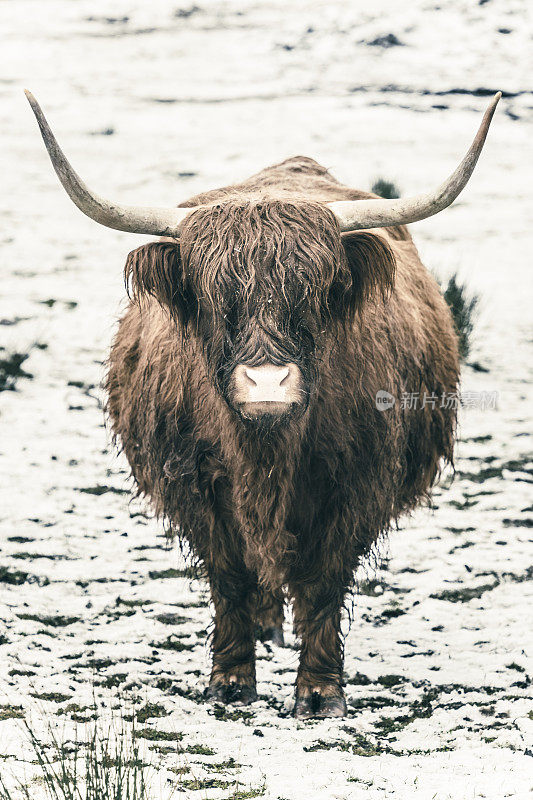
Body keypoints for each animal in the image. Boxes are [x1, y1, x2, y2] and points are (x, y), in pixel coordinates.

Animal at [25, 89, 498, 720]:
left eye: (316, 294)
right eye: (213, 298)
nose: (268, 384)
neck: (265, 452)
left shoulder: (355, 482)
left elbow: (322, 581)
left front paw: (319, 692)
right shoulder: (197, 485)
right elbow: (229, 576)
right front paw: (230, 682)